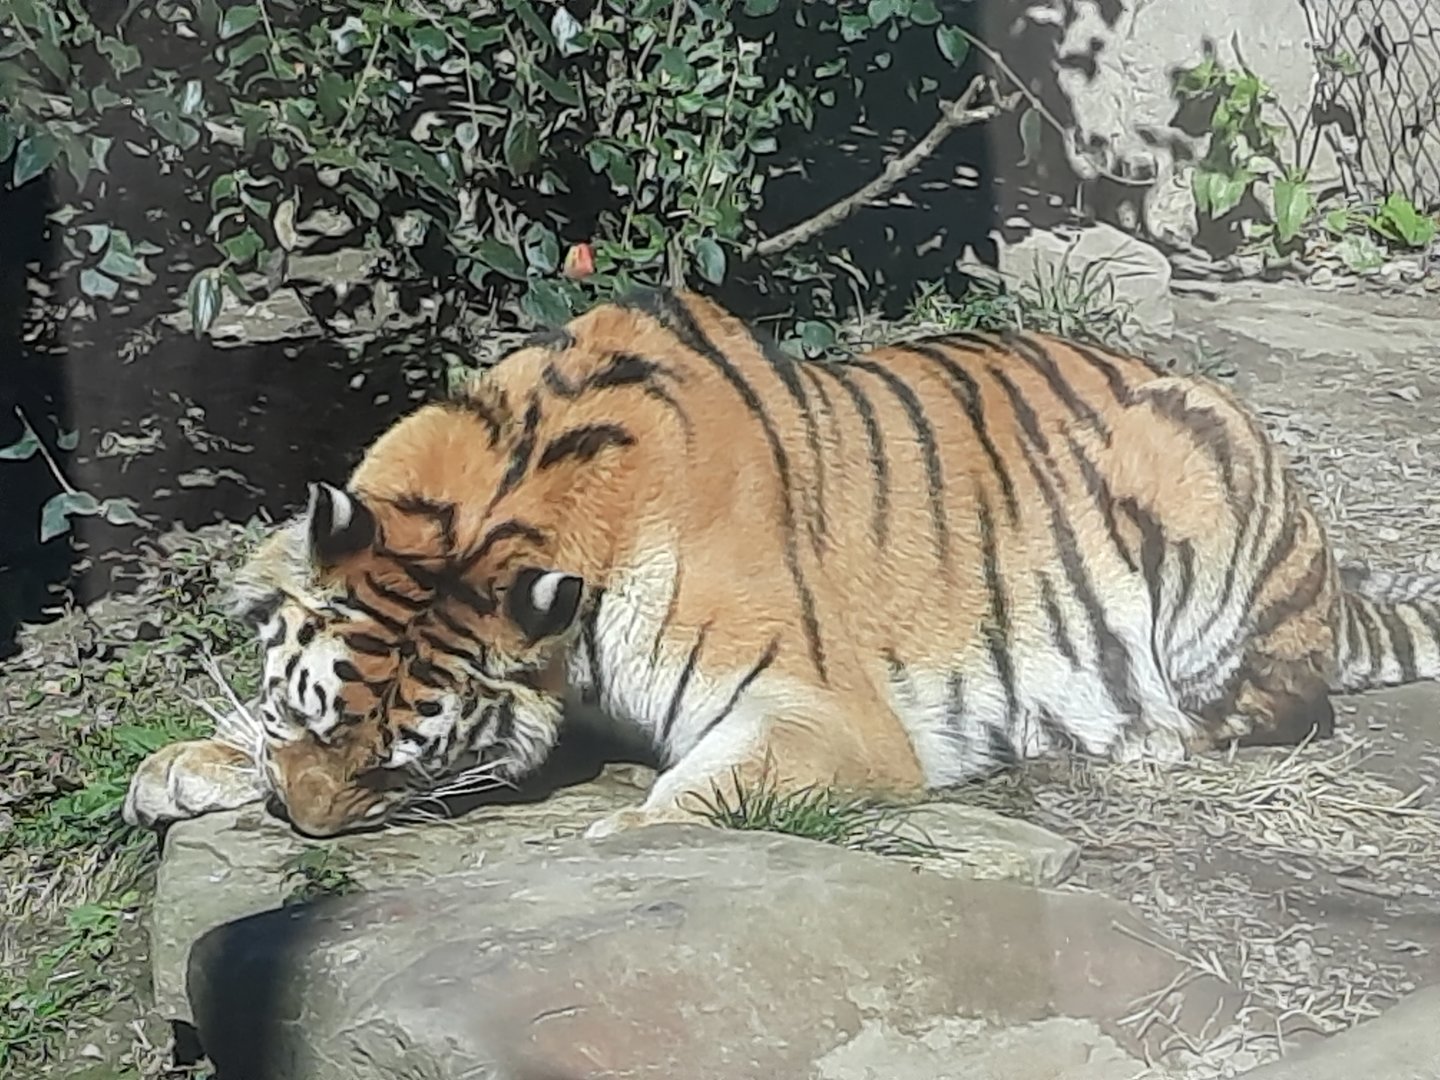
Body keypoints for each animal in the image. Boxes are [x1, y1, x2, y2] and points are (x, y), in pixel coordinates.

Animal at [122, 286, 1440, 840]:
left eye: (404, 766)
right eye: (308, 721)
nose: (301, 828)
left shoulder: (823, 713)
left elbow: (699, 792)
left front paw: (622, 836)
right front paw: (183, 765)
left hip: (1197, 485)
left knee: (1279, 708)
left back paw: (1145, 734)